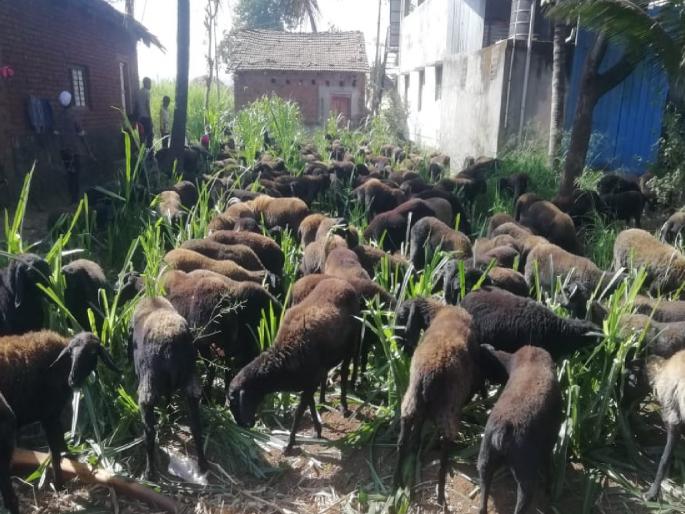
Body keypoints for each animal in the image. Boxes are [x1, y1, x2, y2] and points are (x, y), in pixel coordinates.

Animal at [0, 331, 118, 490]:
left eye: (93, 353)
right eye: (71, 353)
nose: (73, 379)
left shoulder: (53, 416)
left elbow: (61, 446)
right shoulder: (49, 416)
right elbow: (56, 452)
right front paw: (59, 484)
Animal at [131, 297, 208, 479]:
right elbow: (168, 397)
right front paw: (169, 414)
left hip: (148, 387)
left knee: (149, 432)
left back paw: (149, 473)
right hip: (191, 379)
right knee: (196, 425)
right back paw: (202, 464)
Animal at [228, 278, 360, 452]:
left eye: (235, 402)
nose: (242, 425)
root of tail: (342, 282)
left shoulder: (310, 382)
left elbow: (299, 412)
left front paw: (289, 444)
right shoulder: (308, 383)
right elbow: (310, 406)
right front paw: (317, 431)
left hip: (351, 345)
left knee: (344, 373)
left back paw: (344, 406)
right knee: (327, 375)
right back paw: (323, 400)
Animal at [394, 304, 479, 504]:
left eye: (400, 318)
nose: (399, 347)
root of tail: (428, 377)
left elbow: (414, 440)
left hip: (410, 403)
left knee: (403, 443)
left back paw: (398, 483)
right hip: (448, 415)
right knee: (443, 457)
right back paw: (440, 496)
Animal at [477, 345, 562, 514]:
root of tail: (502, 431)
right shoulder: (549, 443)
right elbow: (548, 465)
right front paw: (549, 490)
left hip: (485, 457)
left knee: (483, 495)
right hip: (525, 471)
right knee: (523, 500)